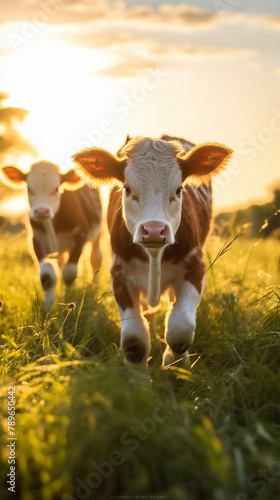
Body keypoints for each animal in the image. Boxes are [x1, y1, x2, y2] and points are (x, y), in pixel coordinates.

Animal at [1, 160, 101, 308]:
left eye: (56, 189)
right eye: (29, 188)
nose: (42, 211)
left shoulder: (80, 236)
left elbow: (69, 272)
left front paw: (69, 297)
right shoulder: (36, 240)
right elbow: (47, 277)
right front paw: (48, 307)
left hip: (97, 233)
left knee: (95, 258)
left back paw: (95, 286)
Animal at [72, 137, 232, 368]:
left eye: (179, 189)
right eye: (127, 189)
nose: (154, 230)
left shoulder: (194, 265)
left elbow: (180, 330)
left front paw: (177, 365)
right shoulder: (119, 272)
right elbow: (135, 341)